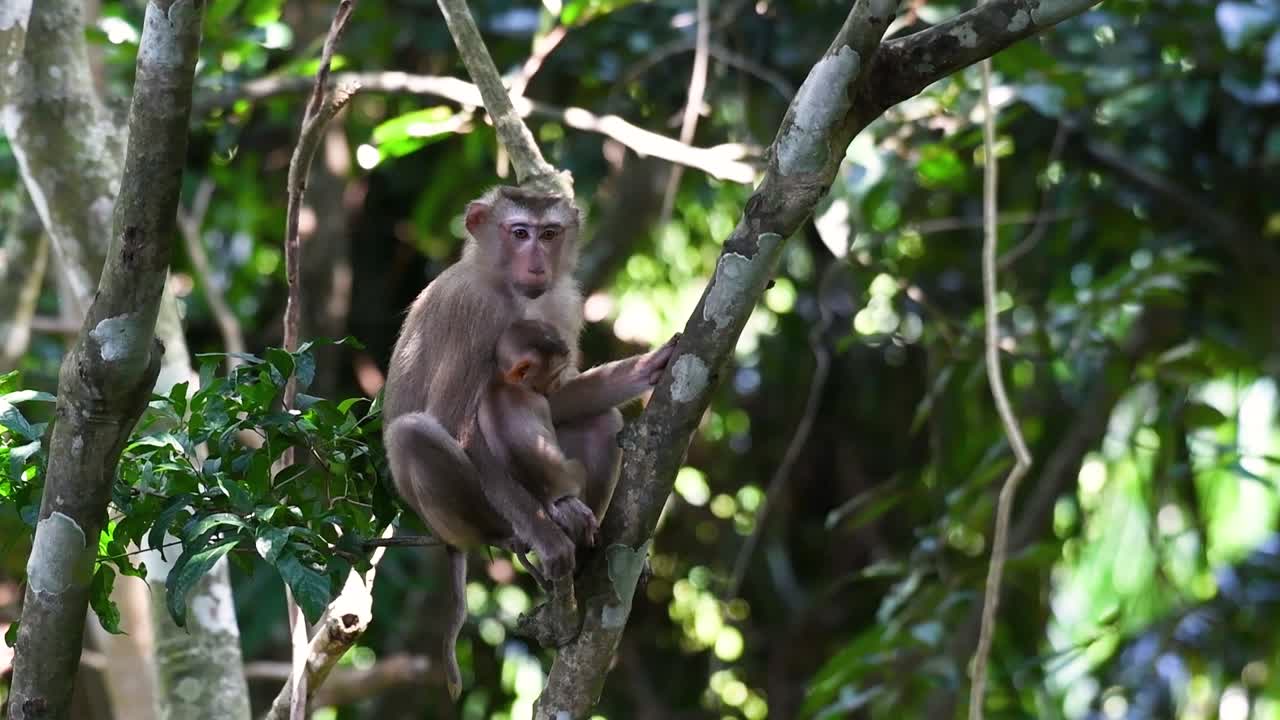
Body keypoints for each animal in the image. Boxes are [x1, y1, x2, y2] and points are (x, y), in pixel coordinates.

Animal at [382, 186, 678, 699]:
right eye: (519, 233)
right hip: (465, 514)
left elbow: (557, 400)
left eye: (550, 234)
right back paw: (520, 530)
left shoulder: (562, 303)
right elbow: (454, 423)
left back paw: (583, 541)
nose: (537, 263)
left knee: (599, 420)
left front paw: (647, 368)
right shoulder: (474, 311)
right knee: (412, 434)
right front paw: (546, 533)